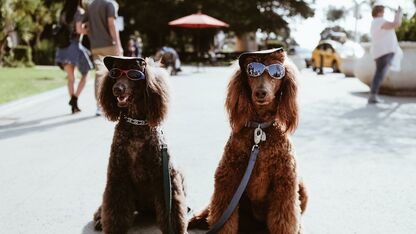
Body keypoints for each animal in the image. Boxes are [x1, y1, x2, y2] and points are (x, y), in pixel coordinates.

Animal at [93, 56, 188, 234]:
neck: (136, 124)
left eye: (134, 74)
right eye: (115, 73)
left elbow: (173, 211)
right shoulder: (118, 175)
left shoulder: (164, 177)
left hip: (179, 173)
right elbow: (114, 208)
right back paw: (99, 220)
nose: (117, 89)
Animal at [190, 48, 308, 233]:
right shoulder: (228, 178)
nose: (261, 92)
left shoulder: (285, 182)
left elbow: (284, 219)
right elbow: (224, 217)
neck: (259, 128)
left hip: (301, 186)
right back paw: (198, 218)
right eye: (252, 71)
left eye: (276, 72)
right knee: (211, 208)